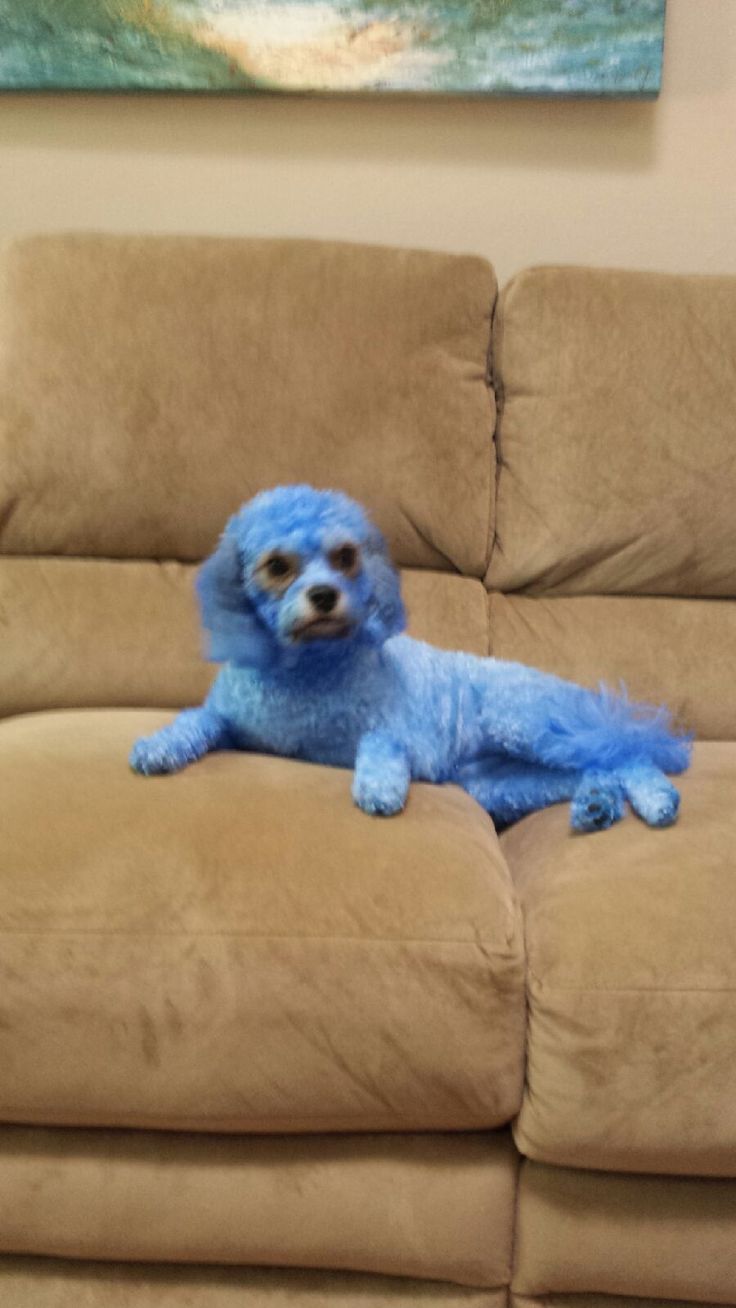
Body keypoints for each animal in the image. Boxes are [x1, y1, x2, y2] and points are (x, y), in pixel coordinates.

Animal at [130, 486, 690, 831]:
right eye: (277, 565)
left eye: (345, 556)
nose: (325, 596)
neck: (309, 669)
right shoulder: (228, 717)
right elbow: (195, 720)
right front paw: (158, 747)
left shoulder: (399, 733)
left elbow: (380, 744)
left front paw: (378, 786)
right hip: (497, 783)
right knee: (595, 768)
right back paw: (597, 805)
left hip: (525, 723)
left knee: (627, 753)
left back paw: (656, 799)